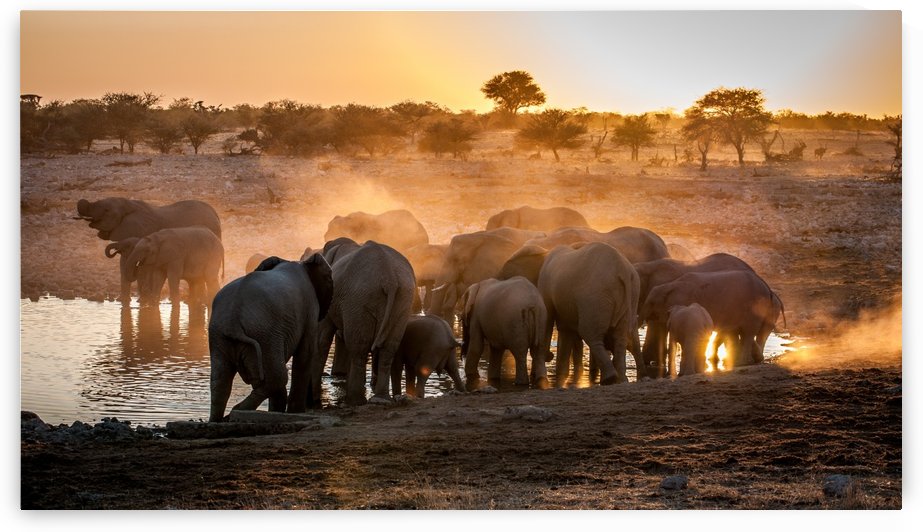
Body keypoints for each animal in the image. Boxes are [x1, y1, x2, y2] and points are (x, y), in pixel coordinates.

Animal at [207, 253, 334, 422]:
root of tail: (233, 322)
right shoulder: (310, 309)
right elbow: (305, 354)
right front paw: (295, 412)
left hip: (222, 335)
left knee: (220, 381)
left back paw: (220, 419)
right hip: (264, 333)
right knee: (277, 377)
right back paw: (235, 412)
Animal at [311, 241, 416, 407]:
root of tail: (389, 278)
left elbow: (322, 338)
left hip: (359, 299)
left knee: (358, 348)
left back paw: (354, 401)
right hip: (403, 300)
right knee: (389, 348)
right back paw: (381, 398)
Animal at [537, 242, 642, 386]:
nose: (550, 356)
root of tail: (623, 270)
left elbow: (548, 318)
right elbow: (565, 329)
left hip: (595, 295)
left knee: (589, 333)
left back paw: (610, 379)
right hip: (630, 295)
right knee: (620, 337)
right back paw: (621, 380)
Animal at [634, 253, 784, 377]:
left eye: (651, 302)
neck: (670, 286)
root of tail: (768, 288)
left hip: (755, 308)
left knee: (747, 332)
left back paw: (743, 362)